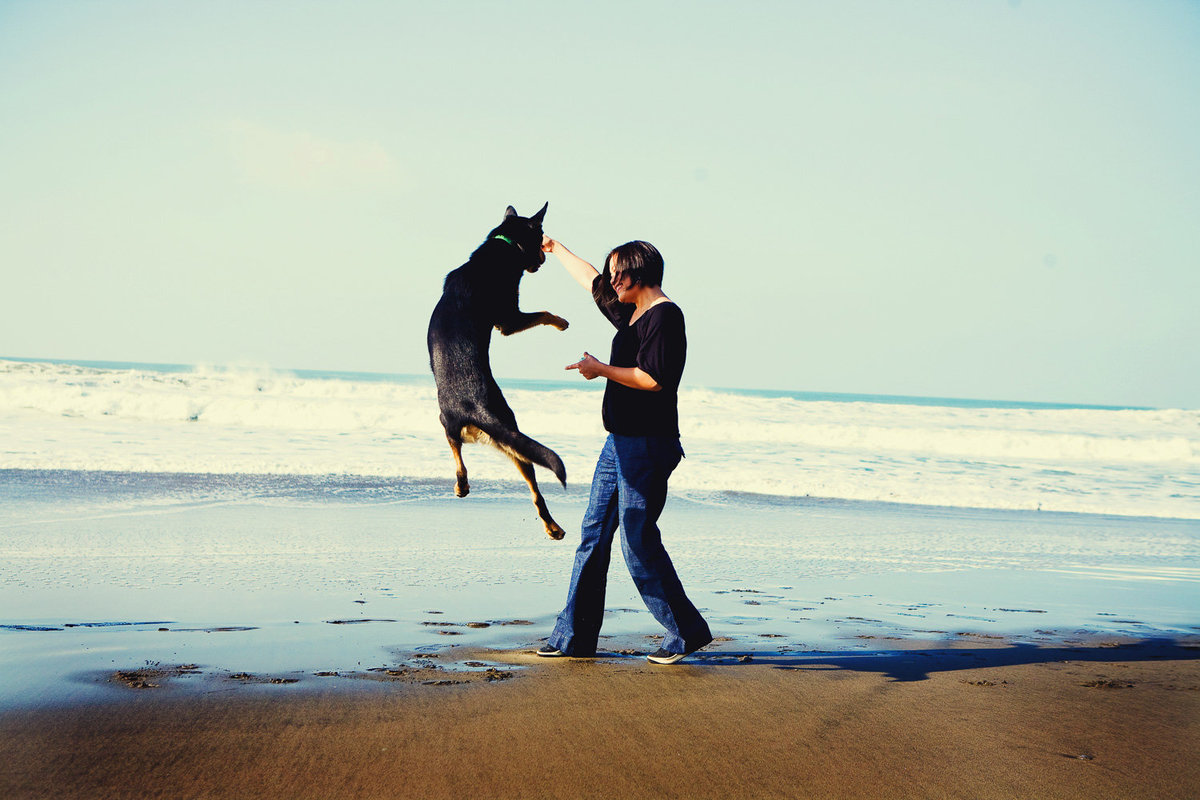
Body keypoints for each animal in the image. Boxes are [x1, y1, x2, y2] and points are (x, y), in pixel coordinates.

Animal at [427, 201, 566, 537]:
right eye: (540, 239)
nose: (545, 256)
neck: (504, 244)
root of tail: (475, 408)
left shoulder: (508, 321)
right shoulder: (509, 320)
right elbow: (544, 312)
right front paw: (561, 321)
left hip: (489, 434)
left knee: (462, 458)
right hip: (510, 433)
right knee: (531, 489)